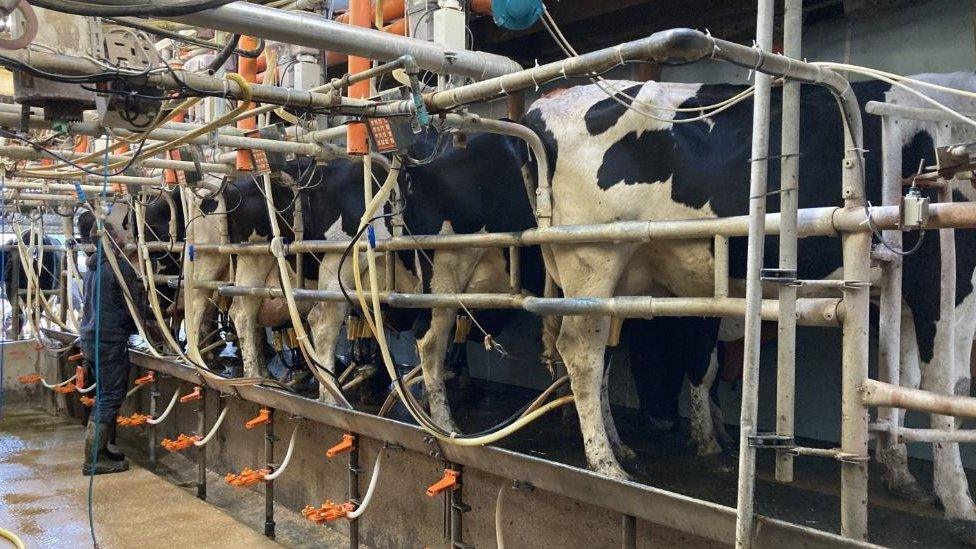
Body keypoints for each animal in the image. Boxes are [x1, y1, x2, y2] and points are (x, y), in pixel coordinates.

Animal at [528, 73, 976, 528]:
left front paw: (902, 474)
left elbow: (903, 380)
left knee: (602, 352)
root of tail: (552, 97)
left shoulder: (902, 297)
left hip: (616, 277)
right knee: (582, 352)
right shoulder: (949, 282)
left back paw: (620, 449)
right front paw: (959, 501)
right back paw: (605, 464)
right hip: (593, 255)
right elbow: (948, 388)